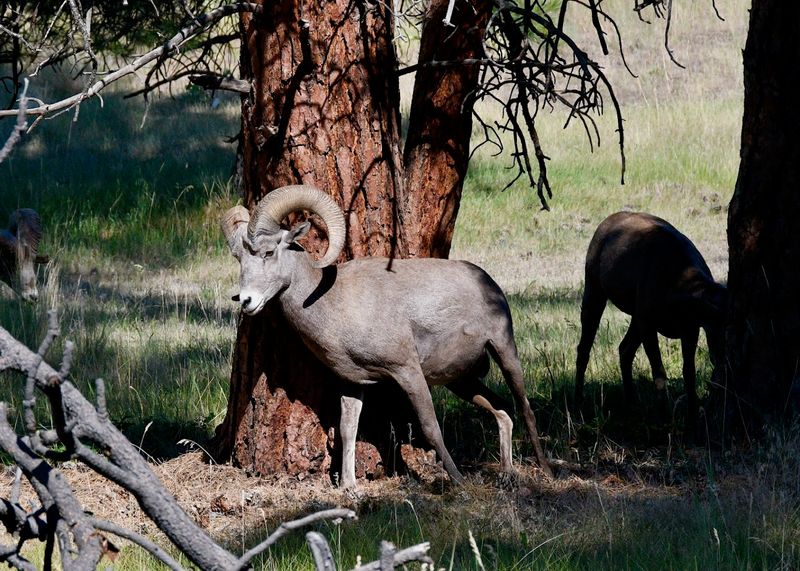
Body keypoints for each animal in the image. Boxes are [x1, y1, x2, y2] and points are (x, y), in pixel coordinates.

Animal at [221, 185, 552, 487]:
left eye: (268, 252)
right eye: (239, 258)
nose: (247, 301)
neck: (332, 302)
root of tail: (488, 282)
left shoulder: (407, 372)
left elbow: (430, 427)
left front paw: (459, 481)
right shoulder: (353, 383)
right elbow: (348, 430)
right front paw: (349, 487)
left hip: (504, 351)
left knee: (524, 408)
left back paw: (546, 470)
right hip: (461, 380)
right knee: (503, 410)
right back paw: (507, 474)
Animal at [574, 211, 726, 432]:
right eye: (720, 328)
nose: (723, 358)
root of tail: (607, 220)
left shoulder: (690, 328)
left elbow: (689, 372)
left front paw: (692, 418)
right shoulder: (648, 322)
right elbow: (659, 371)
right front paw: (662, 416)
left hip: (635, 313)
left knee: (624, 348)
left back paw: (630, 401)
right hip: (594, 287)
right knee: (584, 347)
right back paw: (578, 400)